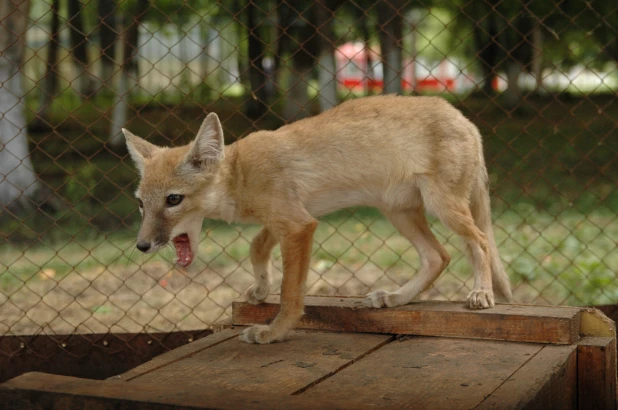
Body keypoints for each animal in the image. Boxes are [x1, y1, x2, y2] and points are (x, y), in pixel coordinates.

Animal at [122, 95, 512, 342]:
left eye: (173, 200)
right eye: (140, 204)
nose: (141, 246)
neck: (242, 172)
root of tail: (466, 120)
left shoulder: (298, 225)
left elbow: (291, 294)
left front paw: (274, 332)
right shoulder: (285, 220)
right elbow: (255, 247)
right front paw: (260, 288)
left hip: (442, 208)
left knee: (478, 242)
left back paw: (481, 293)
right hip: (400, 213)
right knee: (438, 257)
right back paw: (396, 299)